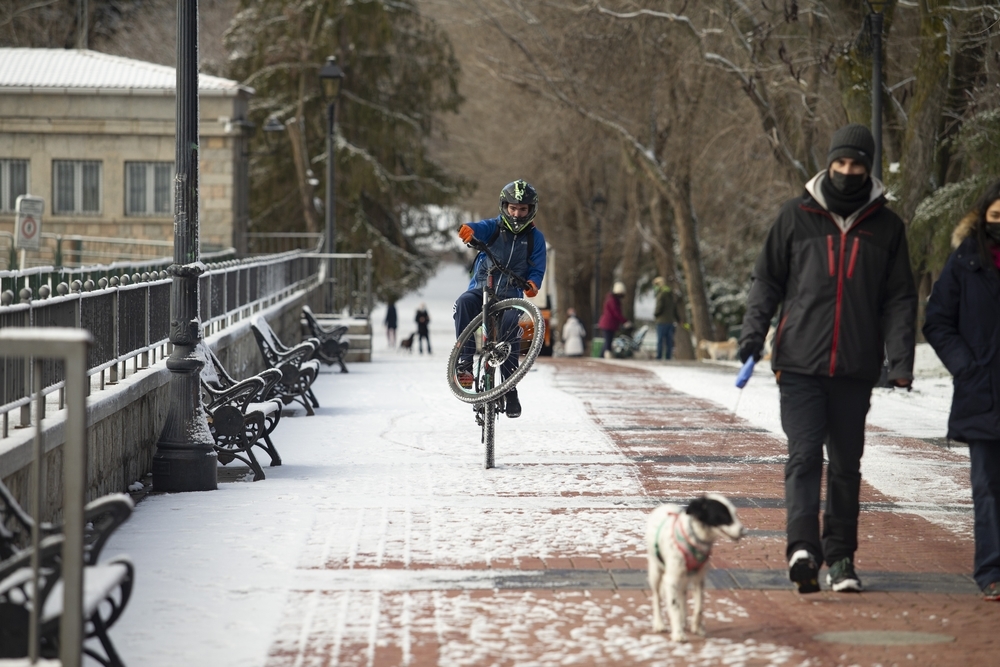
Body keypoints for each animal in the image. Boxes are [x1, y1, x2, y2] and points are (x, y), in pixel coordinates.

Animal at [648, 496, 744, 640]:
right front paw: (678, 634)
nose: (743, 530)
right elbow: (674, 606)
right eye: (723, 516)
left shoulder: (699, 579)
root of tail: (664, 506)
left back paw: (683, 620)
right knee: (657, 596)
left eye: (734, 513)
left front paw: (697, 628)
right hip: (656, 572)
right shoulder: (671, 580)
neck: (696, 540)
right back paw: (659, 624)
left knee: (682, 594)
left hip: (684, 577)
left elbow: (699, 607)